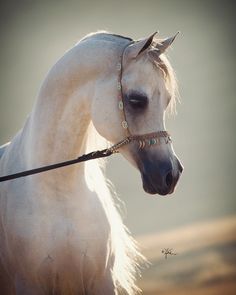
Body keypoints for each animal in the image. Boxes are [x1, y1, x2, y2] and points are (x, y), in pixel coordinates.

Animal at [0, 31, 183, 294]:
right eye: (136, 100)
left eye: (167, 101)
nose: (172, 174)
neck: (60, 192)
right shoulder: (29, 284)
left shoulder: (102, 281)